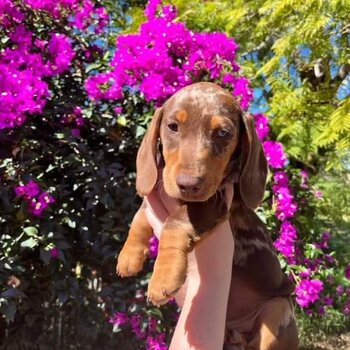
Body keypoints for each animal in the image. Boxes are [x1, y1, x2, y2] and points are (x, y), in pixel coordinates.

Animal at [117, 82, 298, 350]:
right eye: (172, 126)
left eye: (223, 132)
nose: (188, 185)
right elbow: (140, 216)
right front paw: (129, 255)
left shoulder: (215, 202)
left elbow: (176, 221)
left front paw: (164, 276)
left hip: (278, 309)